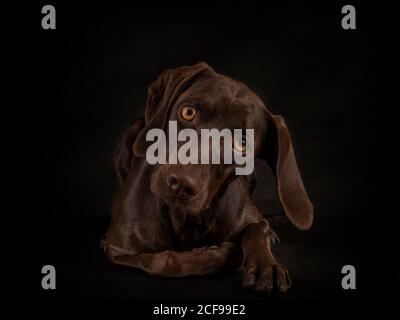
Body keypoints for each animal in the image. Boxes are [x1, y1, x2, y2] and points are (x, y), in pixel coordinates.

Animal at [101, 62, 314, 292]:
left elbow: (256, 229)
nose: (181, 184)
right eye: (188, 112)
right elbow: (165, 261)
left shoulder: (251, 217)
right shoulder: (116, 248)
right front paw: (219, 253)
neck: (185, 218)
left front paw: (265, 265)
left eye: (241, 145)